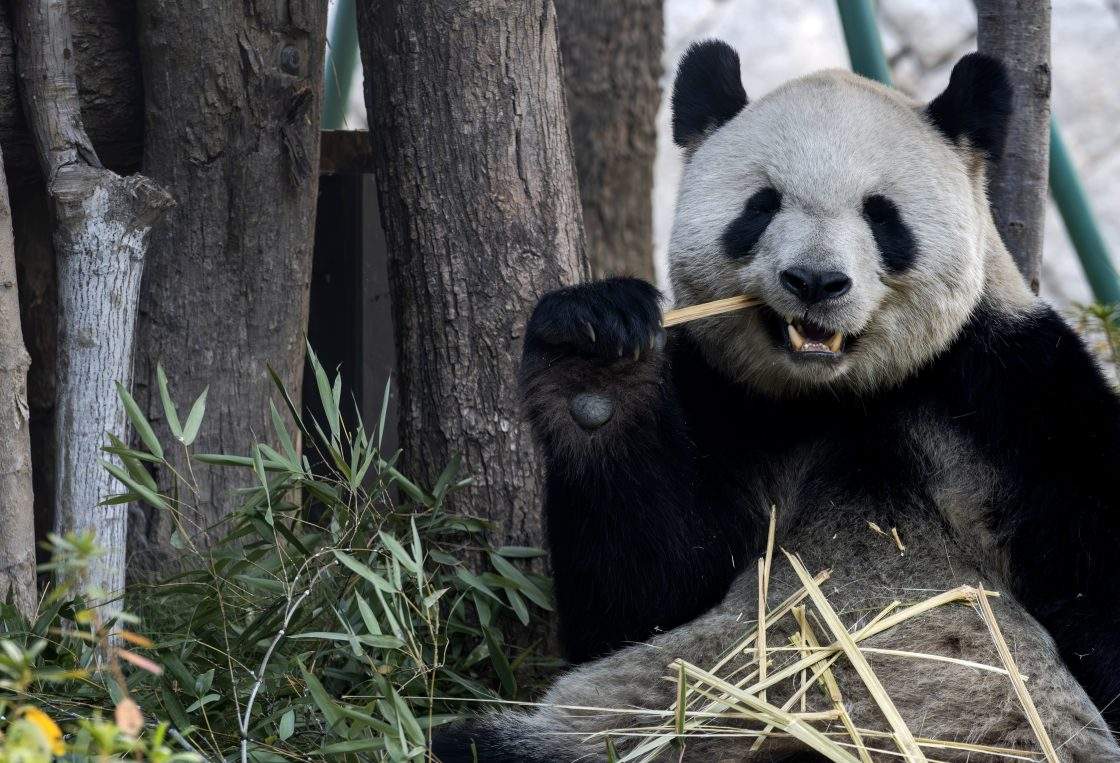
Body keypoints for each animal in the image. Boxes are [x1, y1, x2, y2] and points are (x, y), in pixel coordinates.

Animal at [434, 41, 1120, 761]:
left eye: (881, 214)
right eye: (761, 205)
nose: (815, 281)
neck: (840, 395)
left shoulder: (1013, 398)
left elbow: (1095, 570)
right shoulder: (726, 404)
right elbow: (643, 594)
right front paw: (594, 360)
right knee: (487, 742)